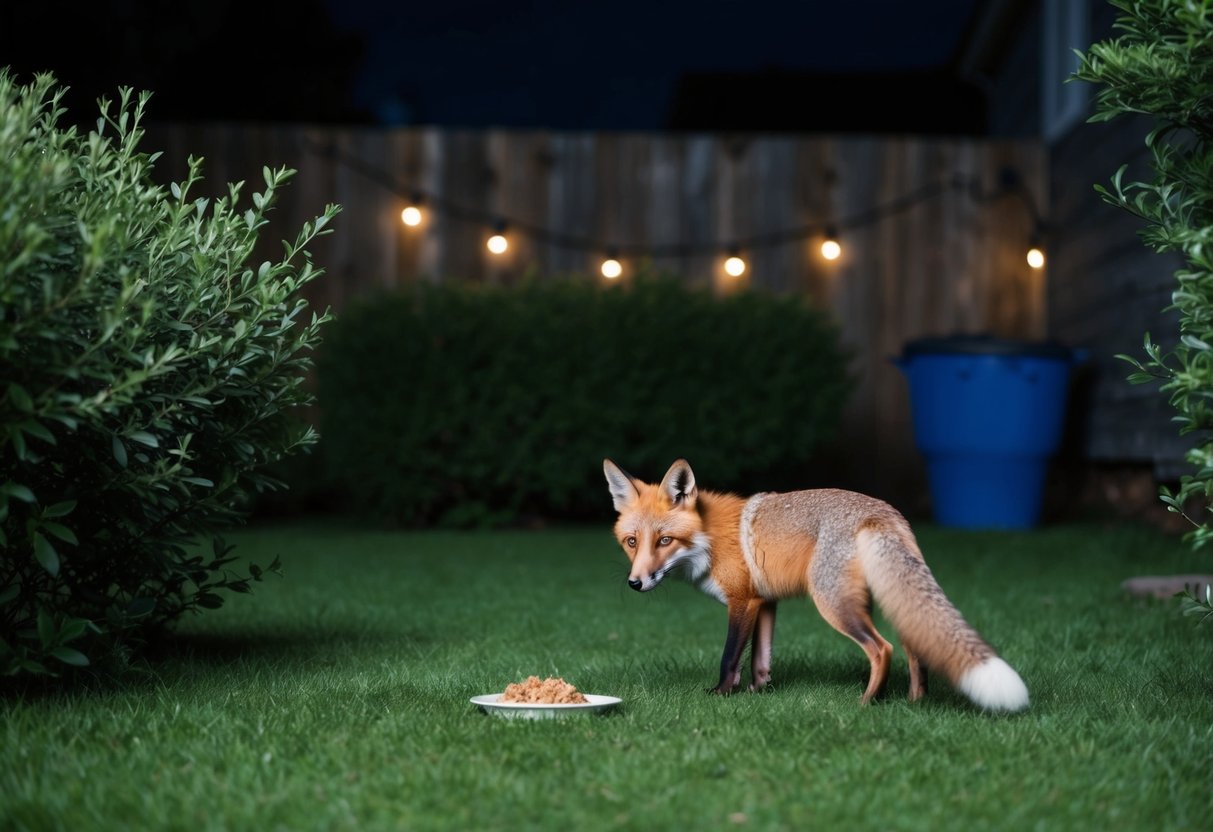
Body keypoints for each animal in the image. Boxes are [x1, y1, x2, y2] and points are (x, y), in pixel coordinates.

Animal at [603, 458, 1029, 712]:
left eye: (664, 541)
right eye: (632, 542)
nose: (635, 583)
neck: (709, 537)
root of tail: (883, 512)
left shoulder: (742, 601)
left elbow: (729, 657)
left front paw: (722, 695)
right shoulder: (765, 602)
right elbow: (761, 659)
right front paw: (759, 693)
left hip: (834, 604)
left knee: (883, 649)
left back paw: (868, 702)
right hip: (882, 599)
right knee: (914, 645)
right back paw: (914, 701)